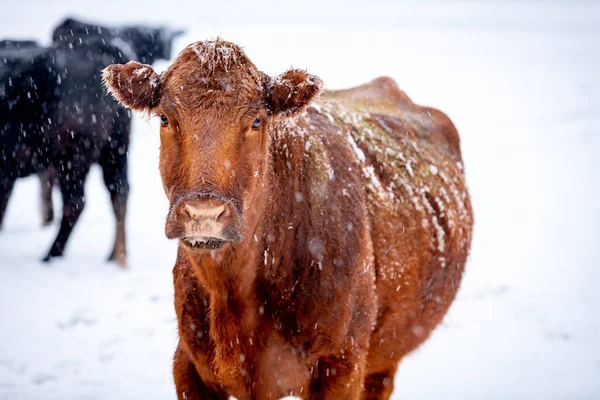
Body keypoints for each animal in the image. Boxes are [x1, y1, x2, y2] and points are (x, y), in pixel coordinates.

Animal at [104, 40, 474, 400]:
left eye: (256, 121)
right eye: (165, 118)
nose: (204, 214)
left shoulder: (342, 365)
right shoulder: (188, 365)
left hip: (383, 359)